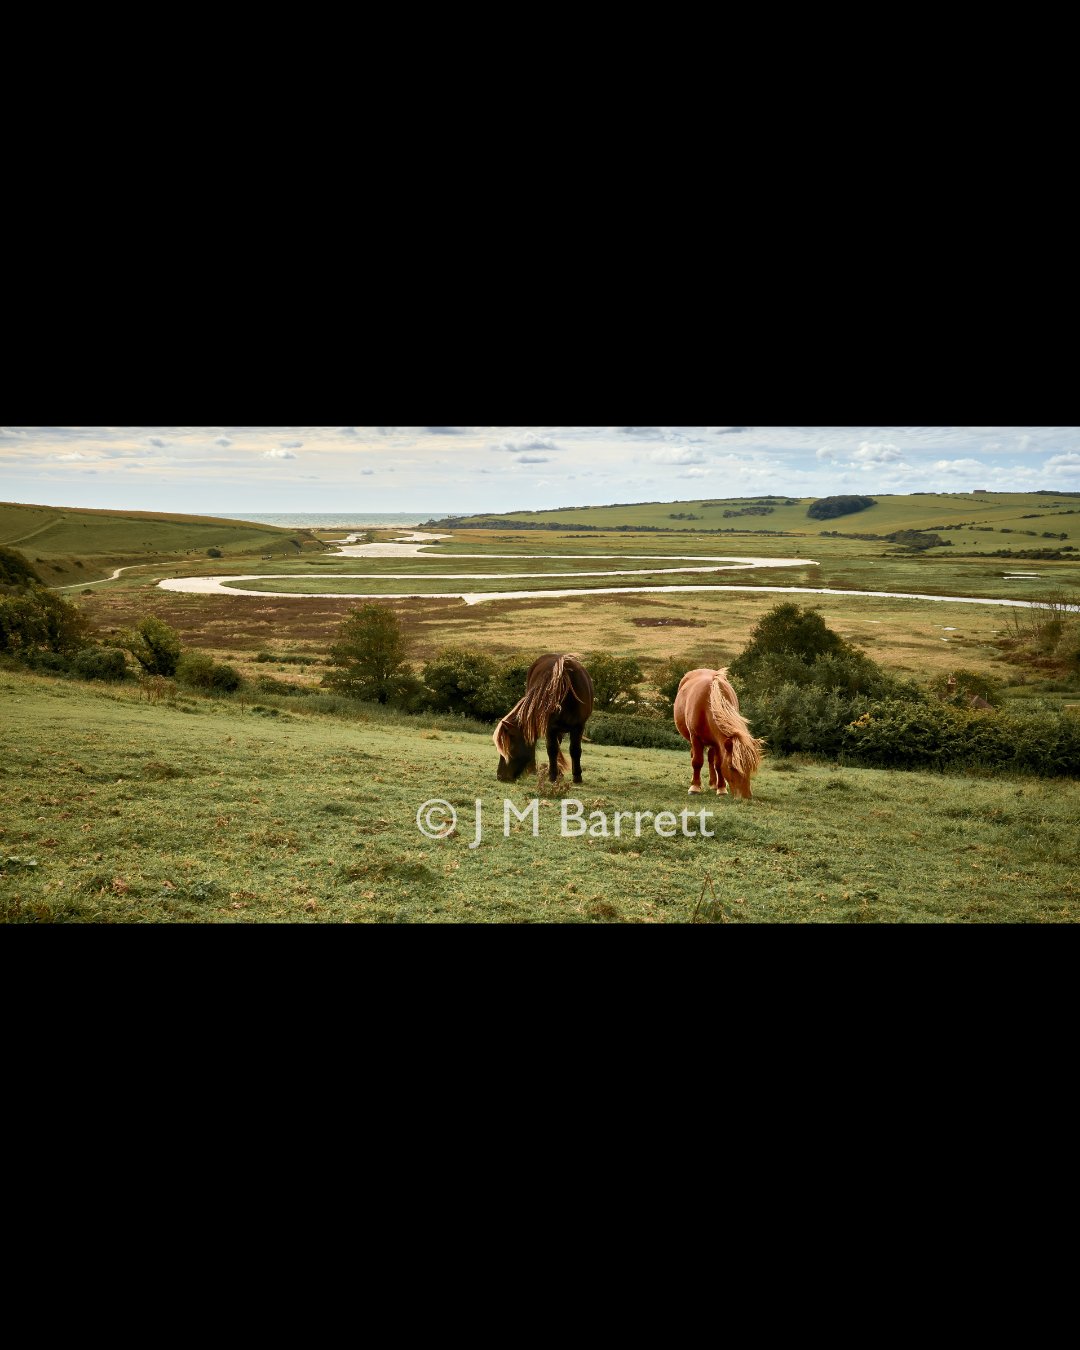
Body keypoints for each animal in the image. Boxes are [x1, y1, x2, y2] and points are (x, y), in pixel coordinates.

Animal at [494, 653, 594, 784]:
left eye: (511, 745)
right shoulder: (550, 727)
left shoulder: (579, 726)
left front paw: (577, 777)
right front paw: (553, 775)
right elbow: (552, 749)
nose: (500, 776)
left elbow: (575, 750)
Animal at [673, 668, 764, 799]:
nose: (746, 796)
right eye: (731, 767)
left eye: (750, 767)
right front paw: (695, 787)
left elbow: (719, 765)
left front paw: (721, 788)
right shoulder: (695, 738)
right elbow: (697, 761)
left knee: (711, 759)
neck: (709, 702)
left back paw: (713, 783)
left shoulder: (718, 743)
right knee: (694, 756)